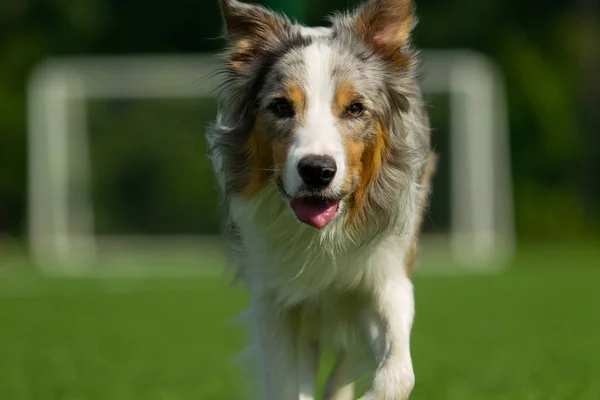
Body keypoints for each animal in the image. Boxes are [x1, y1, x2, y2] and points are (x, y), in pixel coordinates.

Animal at [206, 0, 432, 396]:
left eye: (355, 108)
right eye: (281, 107)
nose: (316, 170)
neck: (321, 236)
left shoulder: (386, 276)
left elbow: (399, 373)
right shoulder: (273, 297)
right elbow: (284, 382)